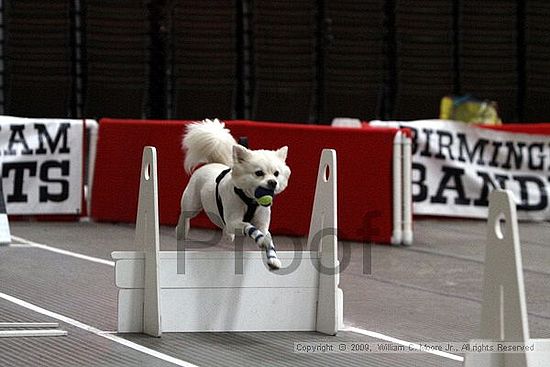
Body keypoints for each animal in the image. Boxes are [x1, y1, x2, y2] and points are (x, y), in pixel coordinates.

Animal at [177, 120, 292, 270]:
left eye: (276, 173)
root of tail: (211, 162)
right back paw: (181, 231)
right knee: (185, 215)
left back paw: (227, 235)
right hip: (192, 204)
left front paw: (273, 258)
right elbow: (249, 227)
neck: (250, 200)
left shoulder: (262, 223)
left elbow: (267, 236)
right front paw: (261, 240)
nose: (273, 182)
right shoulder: (234, 221)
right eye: (259, 173)